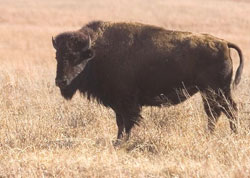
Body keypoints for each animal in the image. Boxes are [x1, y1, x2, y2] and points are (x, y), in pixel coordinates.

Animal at [51, 20, 243, 143]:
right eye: (57, 57)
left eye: (75, 57)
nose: (61, 81)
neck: (97, 53)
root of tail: (224, 43)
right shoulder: (118, 104)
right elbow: (120, 122)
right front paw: (118, 141)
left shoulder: (127, 102)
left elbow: (127, 122)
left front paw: (122, 142)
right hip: (210, 92)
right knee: (216, 112)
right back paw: (212, 135)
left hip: (216, 91)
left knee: (226, 110)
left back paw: (231, 135)